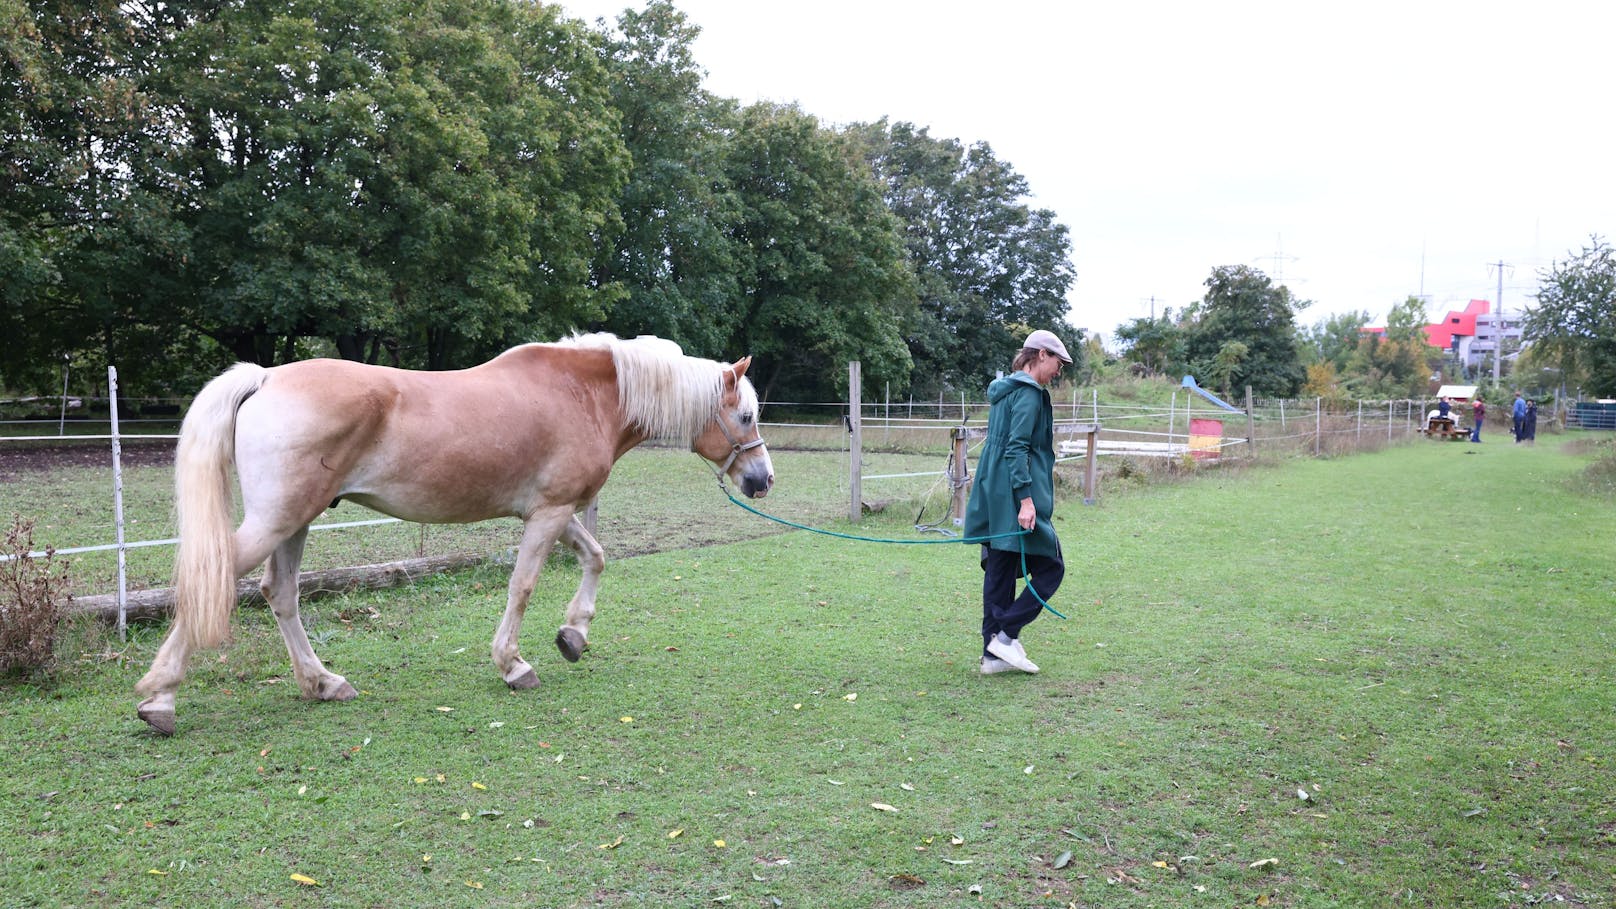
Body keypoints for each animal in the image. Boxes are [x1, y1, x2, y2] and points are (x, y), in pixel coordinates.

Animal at [132, 333, 775, 737]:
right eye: (745, 416)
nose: (762, 479)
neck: (584, 394)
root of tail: (265, 379)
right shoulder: (548, 513)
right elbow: (523, 586)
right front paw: (513, 664)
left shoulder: (552, 511)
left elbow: (596, 557)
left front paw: (573, 634)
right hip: (277, 520)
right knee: (219, 584)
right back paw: (160, 698)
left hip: (296, 521)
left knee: (280, 594)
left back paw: (323, 682)